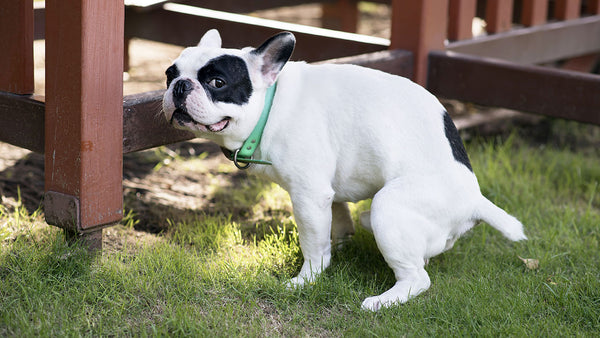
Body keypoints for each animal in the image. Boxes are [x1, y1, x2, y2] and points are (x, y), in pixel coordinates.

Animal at [161, 29, 524, 312]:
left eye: (217, 82)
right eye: (169, 74)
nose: (179, 86)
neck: (271, 106)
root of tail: (474, 199)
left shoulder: (308, 196)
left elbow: (313, 242)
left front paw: (307, 278)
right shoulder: (326, 192)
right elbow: (336, 219)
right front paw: (340, 245)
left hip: (388, 208)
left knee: (417, 277)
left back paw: (384, 300)